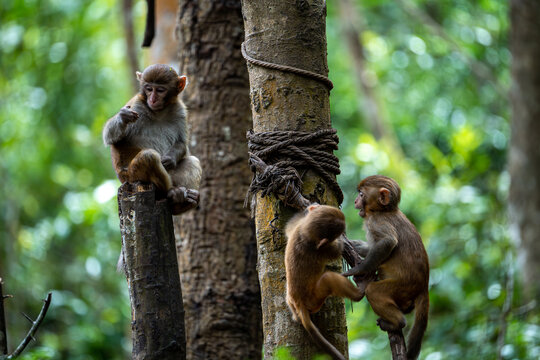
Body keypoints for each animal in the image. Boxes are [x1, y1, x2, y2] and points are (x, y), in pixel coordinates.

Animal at [102, 63, 201, 215]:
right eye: (149, 89)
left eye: (160, 90)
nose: (152, 99)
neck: (159, 111)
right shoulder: (136, 105)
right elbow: (109, 137)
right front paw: (123, 117)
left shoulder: (180, 110)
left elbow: (182, 143)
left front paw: (169, 159)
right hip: (132, 178)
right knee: (149, 157)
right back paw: (171, 192)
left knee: (193, 161)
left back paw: (182, 203)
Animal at [284, 204, 364, 358]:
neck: (304, 234)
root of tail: (299, 303)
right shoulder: (324, 250)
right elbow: (336, 251)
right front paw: (343, 243)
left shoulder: (297, 227)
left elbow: (288, 228)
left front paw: (307, 208)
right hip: (314, 300)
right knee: (328, 278)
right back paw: (360, 292)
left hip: (291, 301)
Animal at [342, 175, 430, 360]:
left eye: (361, 194)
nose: (355, 201)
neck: (384, 211)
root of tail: (424, 286)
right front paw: (355, 245)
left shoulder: (377, 221)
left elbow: (387, 242)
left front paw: (359, 270)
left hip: (402, 287)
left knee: (374, 291)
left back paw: (397, 322)